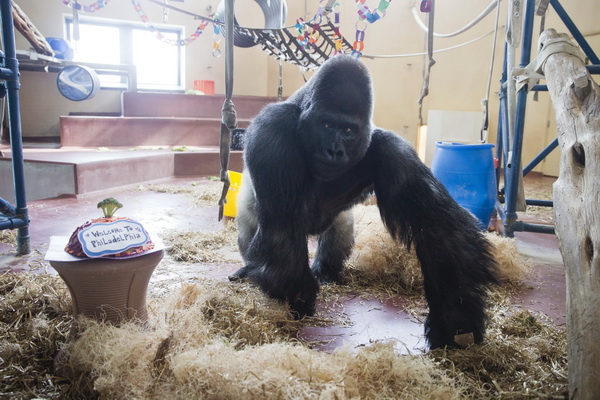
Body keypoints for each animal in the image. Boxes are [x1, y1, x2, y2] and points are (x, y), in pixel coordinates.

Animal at [230, 54, 496, 348]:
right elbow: (282, 226)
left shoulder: (392, 149)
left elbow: (437, 226)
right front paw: (298, 295)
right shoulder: (272, 132)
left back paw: (327, 271)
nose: (334, 150)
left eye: (348, 130)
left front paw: (455, 316)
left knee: (340, 232)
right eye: (326, 124)